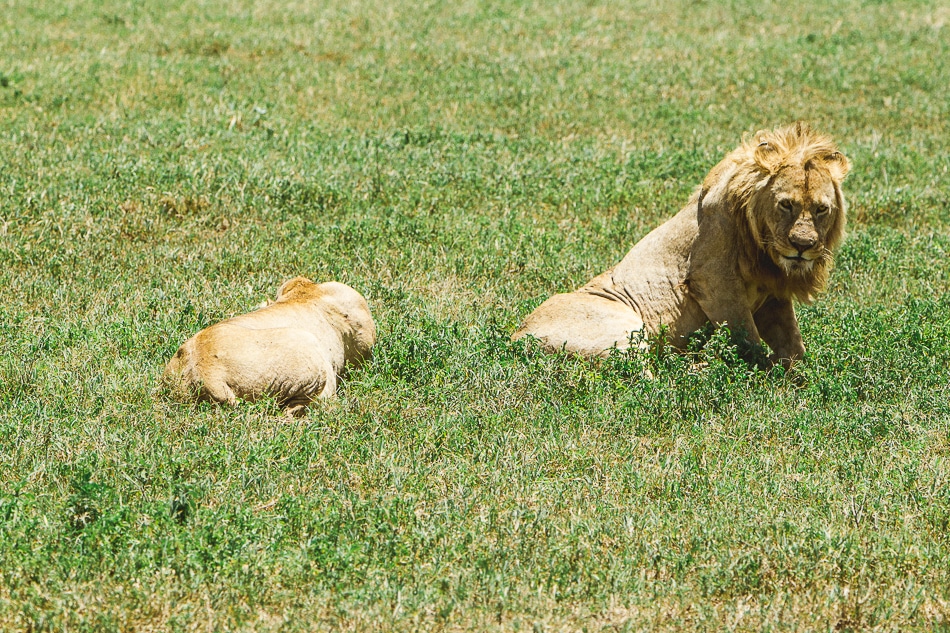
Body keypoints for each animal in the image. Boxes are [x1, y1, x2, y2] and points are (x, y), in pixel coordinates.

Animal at [512, 122, 856, 366]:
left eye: (821, 209)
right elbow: (748, 340)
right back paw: (692, 367)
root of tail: (516, 336)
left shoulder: (772, 292)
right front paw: (762, 371)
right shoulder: (712, 277)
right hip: (622, 332)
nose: (802, 245)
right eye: (786, 205)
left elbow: (792, 343)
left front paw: (796, 375)